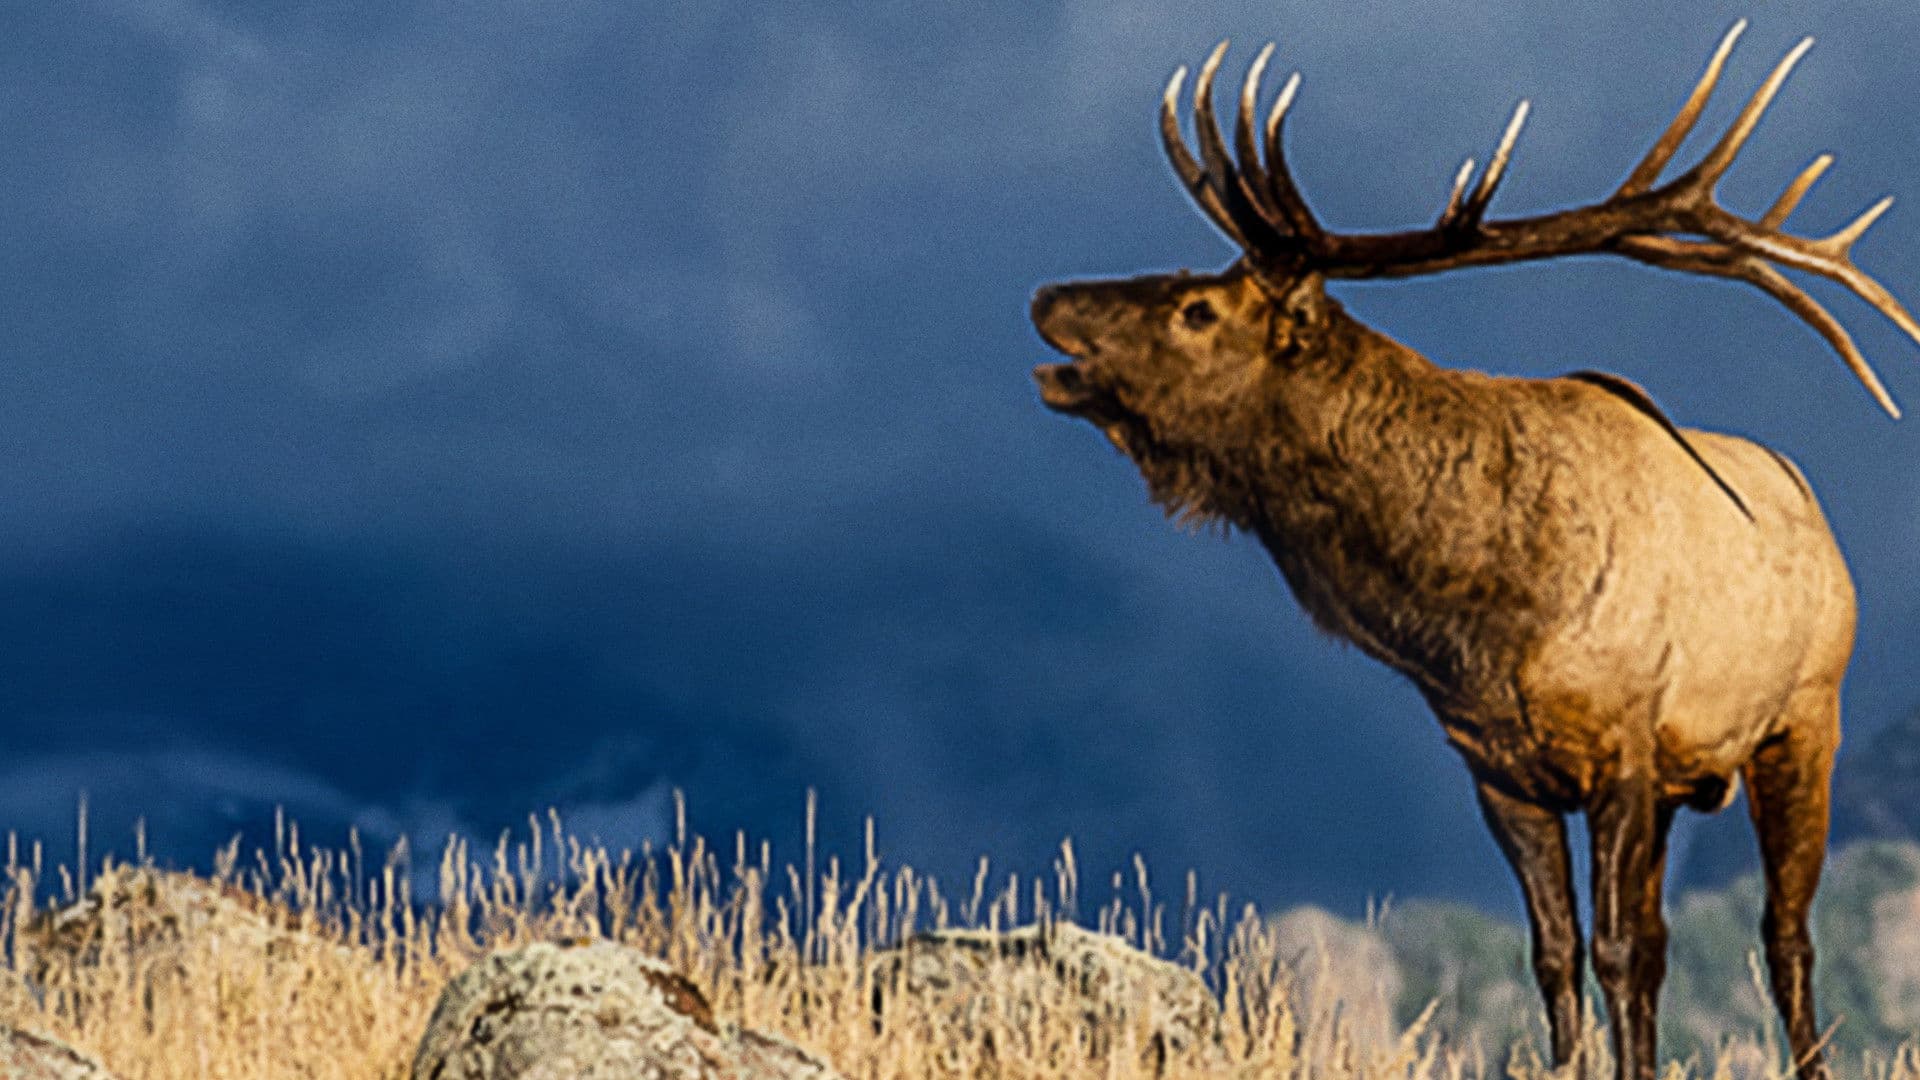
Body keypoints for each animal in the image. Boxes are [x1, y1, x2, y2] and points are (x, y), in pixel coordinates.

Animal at [1031, 23, 1914, 1080]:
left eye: (1198, 309)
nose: (1048, 293)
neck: (1484, 620)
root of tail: (1814, 504)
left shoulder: (1623, 744)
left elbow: (1618, 950)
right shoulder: (1499, 768)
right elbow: (1559, 955)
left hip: (1804, 716)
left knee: (1785, 936)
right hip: (1684, 778)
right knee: (1671, 938)